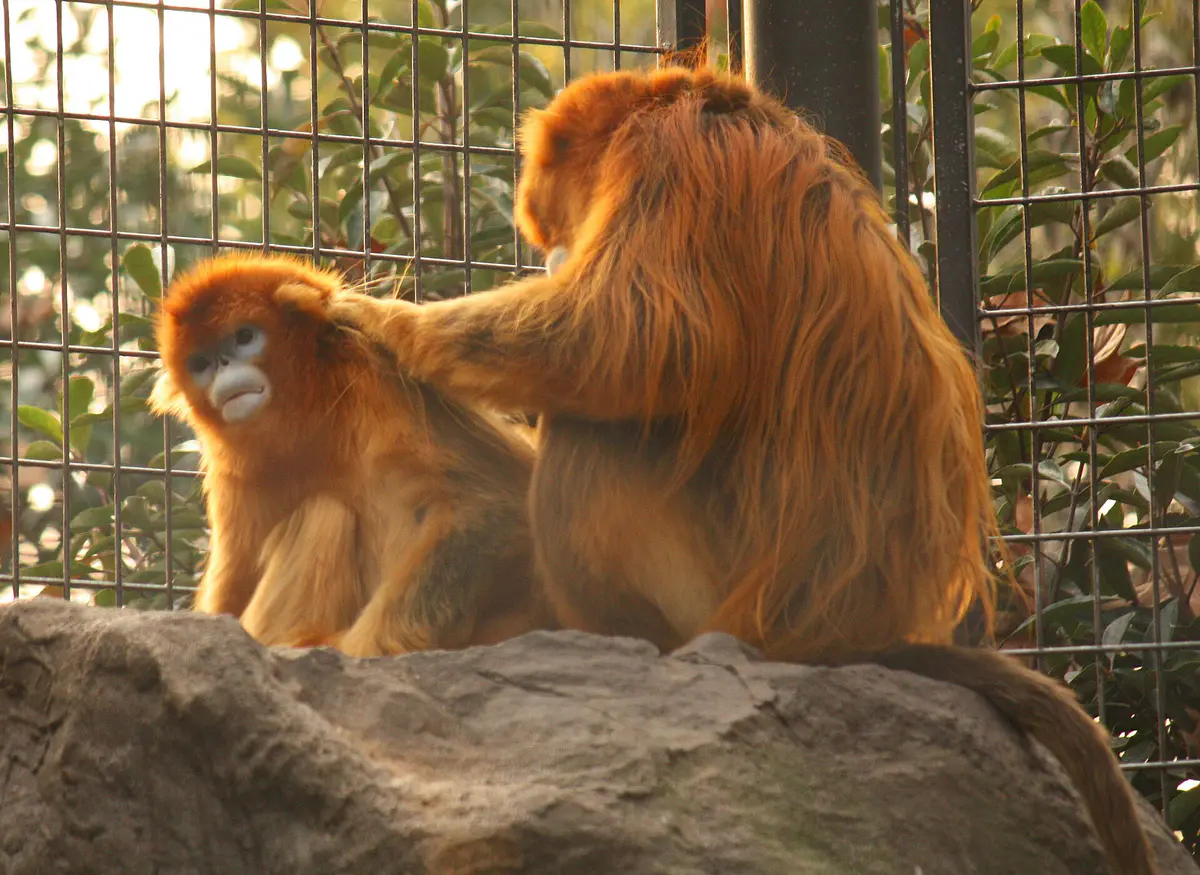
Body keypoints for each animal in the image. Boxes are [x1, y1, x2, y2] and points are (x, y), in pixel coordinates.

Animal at [149, 253, 549, 658]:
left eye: (244, 337)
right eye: (200, 363)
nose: (221, 365)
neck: (309, 410)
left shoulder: (370, 372)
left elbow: (493, 506)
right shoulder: (234, 471)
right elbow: (228, 602)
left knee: (323, 512)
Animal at [325, 68, 1161, 874]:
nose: (552, 255)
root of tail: (842, 633)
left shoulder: (666, 160)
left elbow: (636, 336)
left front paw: (385, 324)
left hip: (714, 586)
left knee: (597, 434)